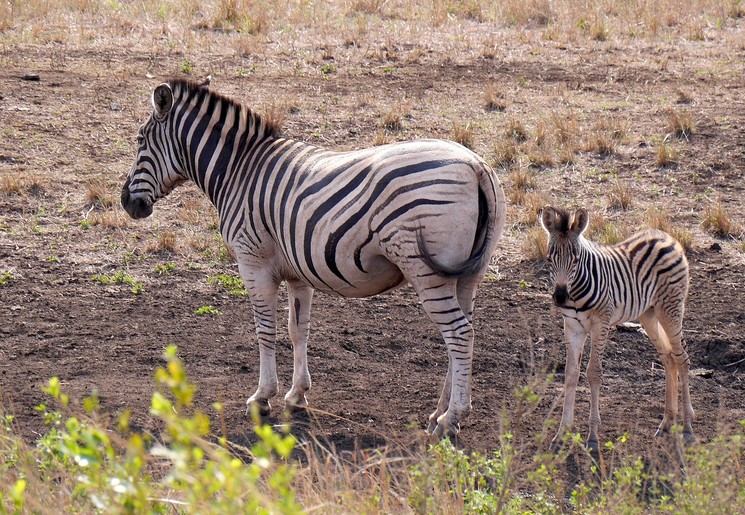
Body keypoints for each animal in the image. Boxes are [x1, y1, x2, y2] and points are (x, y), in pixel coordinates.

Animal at [120, 78, 506, 437]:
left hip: (427, 270)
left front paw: (262, 397)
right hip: (469, 274)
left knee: (458, 334)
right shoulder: (297, 271)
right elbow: (297, 330)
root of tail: (475, 165)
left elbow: (265, 329)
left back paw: (452, 418)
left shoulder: (253, 262)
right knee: (463, 334)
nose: (127, 203)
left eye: (139, 141)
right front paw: (296, 395)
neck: (239, 170)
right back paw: (438, 414)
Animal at [540, 206, 693, 452]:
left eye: (575, 258)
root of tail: (665, 236)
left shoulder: (600, 323)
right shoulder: (572, 326)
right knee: (668, 358)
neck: (576, 293)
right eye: (550, 257)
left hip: (670, 309)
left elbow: (593, 373)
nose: (560, 297)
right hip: (648, 314)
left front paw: (592, 436)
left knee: (682, 360)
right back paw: (667, 422)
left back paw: (687, 427)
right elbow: (571, 375)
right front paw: (561, 434)